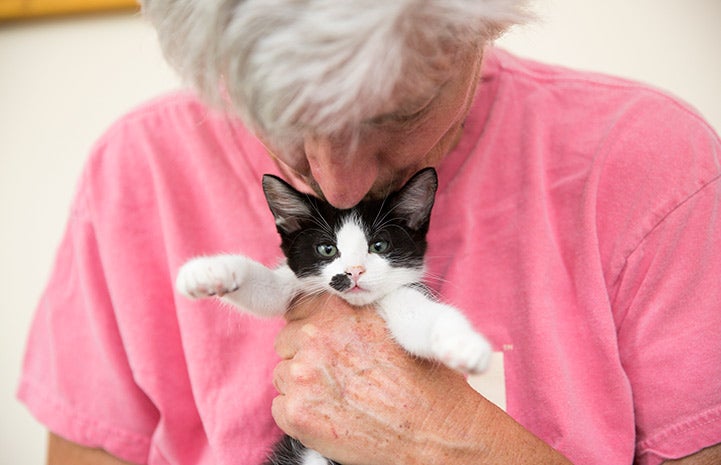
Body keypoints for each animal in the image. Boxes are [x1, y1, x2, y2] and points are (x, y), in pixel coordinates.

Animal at [176, 167, 490, 464]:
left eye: (379, 246)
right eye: (327, 249)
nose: (354, 271)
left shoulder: (401, 295)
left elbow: (420, 321)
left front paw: (465, 344)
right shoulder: (297, 286)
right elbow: (267, 291)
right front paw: (208, 272)